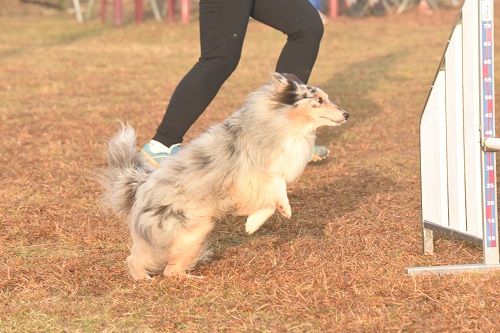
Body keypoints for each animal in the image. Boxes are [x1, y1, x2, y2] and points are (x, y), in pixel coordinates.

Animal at [101, 72, 348, 278]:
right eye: (319, 100)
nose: (347, 114)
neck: (283, 122)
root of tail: (140, 186)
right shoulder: (250, 174)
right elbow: (277, 186)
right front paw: (265, 219)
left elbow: (272, 194)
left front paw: (254, 222)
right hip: (189, 229)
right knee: (151, 263)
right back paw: (153, 279)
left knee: (165, 266)